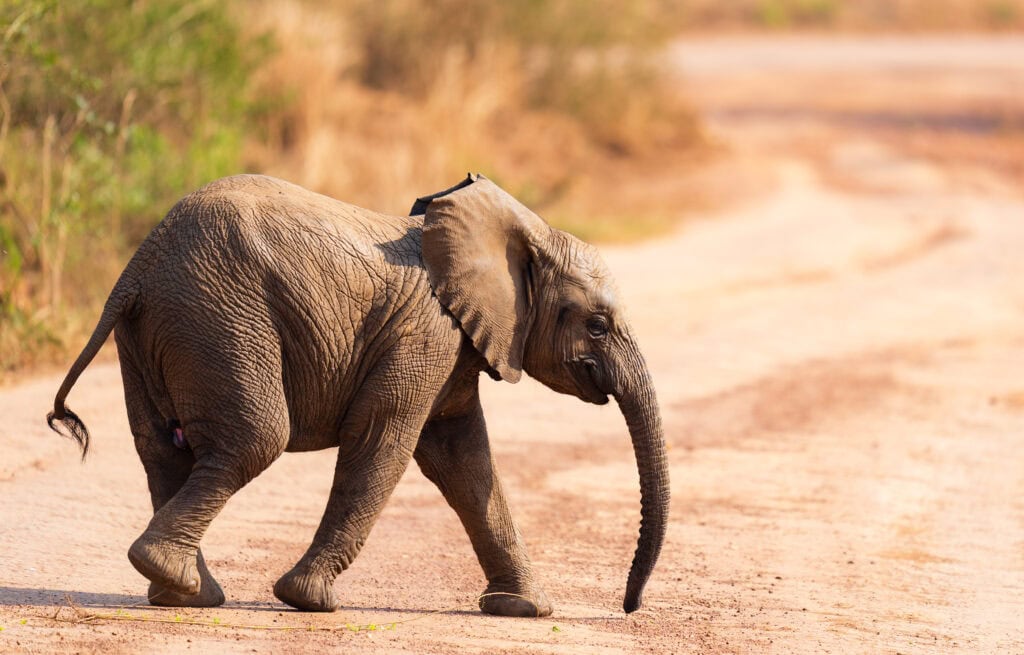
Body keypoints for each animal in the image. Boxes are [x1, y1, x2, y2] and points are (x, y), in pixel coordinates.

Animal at [46, 173, 669, 617]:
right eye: (598, 325)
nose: (628, 608)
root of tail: (138, 268)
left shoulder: (451, 350)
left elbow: (466, 465)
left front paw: (525, 609)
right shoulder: (426, 335)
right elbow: (383, 446)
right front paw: (309, 600)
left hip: (160, 330)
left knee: (162, 451)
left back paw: (183, 592)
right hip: (218, 318)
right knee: (254, 440)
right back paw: (176, 578)